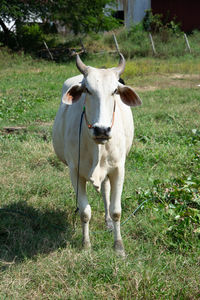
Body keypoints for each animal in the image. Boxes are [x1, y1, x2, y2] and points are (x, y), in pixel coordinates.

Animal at [52, 53, 141, 255]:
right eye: (87, 89)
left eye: (115, 90)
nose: (102, 130)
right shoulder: (75, 171)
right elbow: (85, 212)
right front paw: (86, 244)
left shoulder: (118, 169)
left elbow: (116, 210)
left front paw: (119, 246)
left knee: (106, 193)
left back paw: (108, 222)